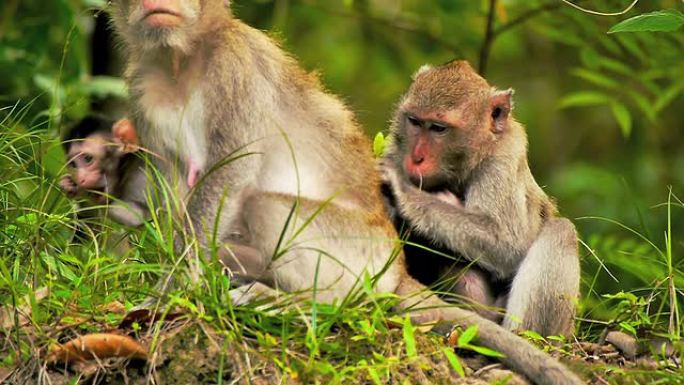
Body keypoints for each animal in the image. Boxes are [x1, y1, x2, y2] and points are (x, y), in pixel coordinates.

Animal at [382, 60, 580, 336]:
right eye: (414, 121)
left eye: (438, 128)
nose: (416, 158)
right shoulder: (397, 145)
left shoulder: (503, 157)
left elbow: (508, 243)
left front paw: (405, 192)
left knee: (562, 230)